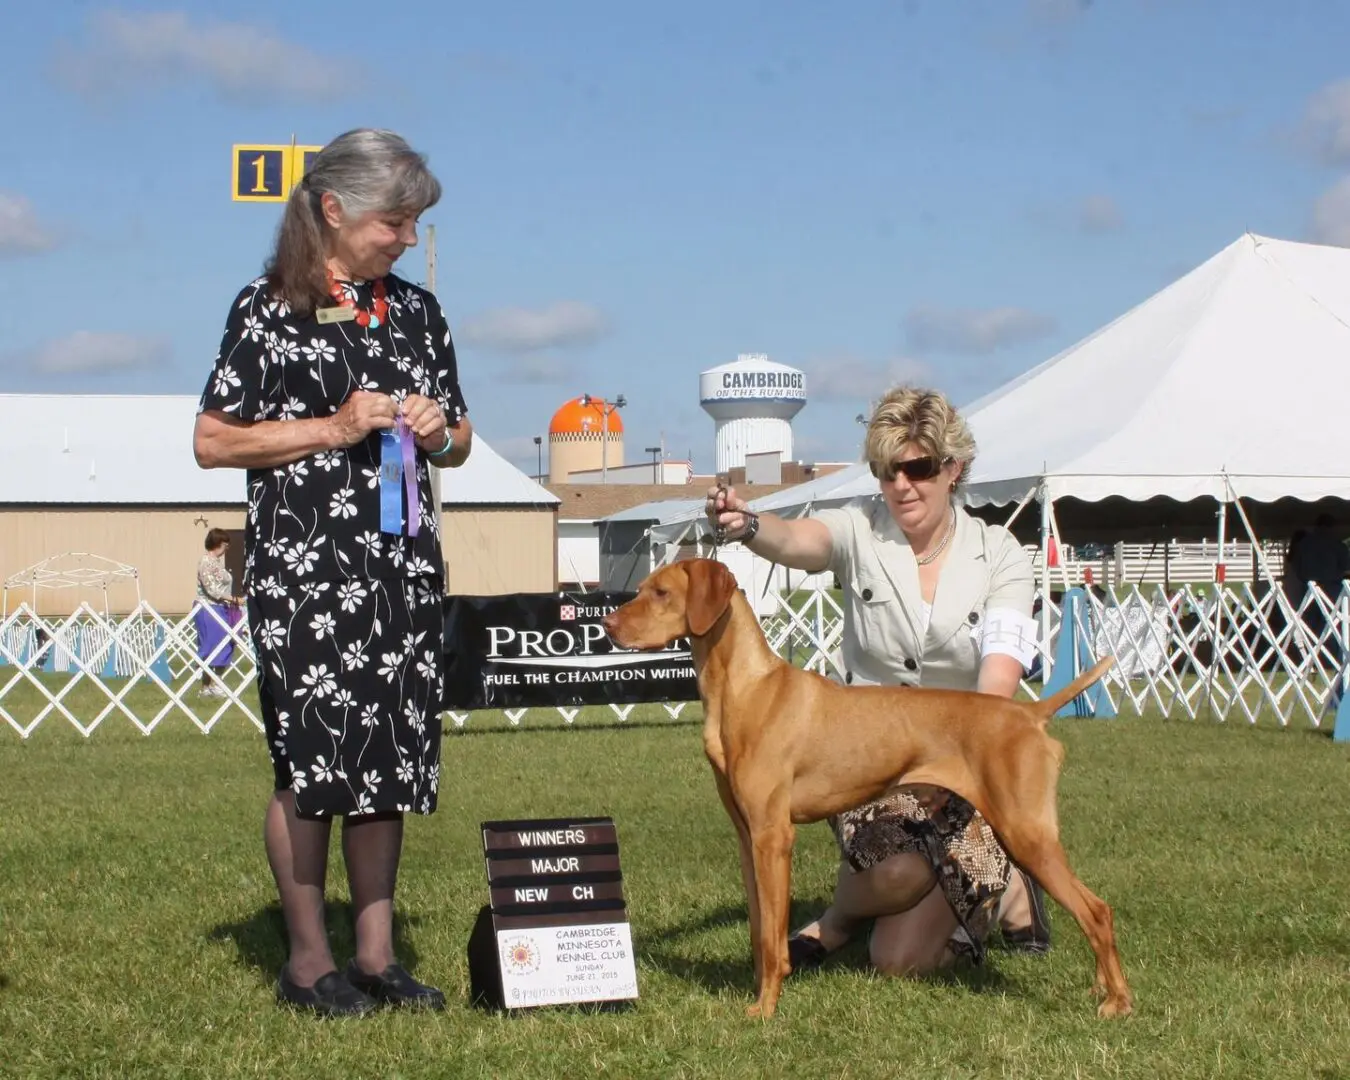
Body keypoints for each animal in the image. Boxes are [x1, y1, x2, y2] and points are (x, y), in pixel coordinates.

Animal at [604, 556, 1128, 1020]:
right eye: (645, 588)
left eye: (661, 592)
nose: (607, 625)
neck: (747, 690)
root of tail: (1029, 713)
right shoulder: (746, 837)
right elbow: (758, 931)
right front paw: (758, 994)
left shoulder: (774, 837)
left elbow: (772, 939)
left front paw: (766, 1008)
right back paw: (1100, 987)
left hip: (1026, 834)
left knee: (1097, 910)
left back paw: (1117, 1002)